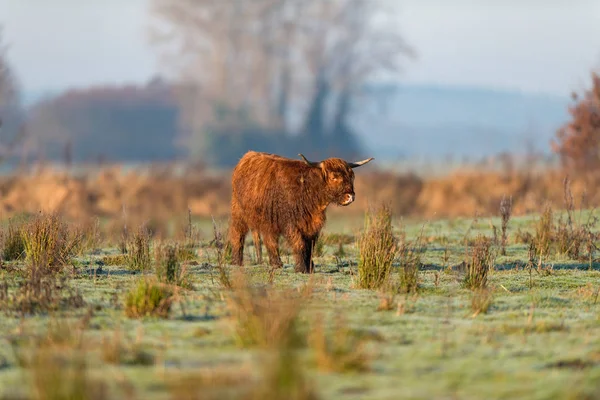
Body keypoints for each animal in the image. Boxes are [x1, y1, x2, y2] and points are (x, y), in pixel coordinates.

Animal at [229, 150, 372, 272]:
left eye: (351, 177)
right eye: (334, 177)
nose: (350, 196)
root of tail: (246, 157)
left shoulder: (313, 225)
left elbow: (310, 246)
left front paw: (310, 267)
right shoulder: (292, 223)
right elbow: (300, 244)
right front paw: (301, 268)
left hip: (267, 219)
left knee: (270, 239)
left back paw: (276, 264)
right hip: (238, 213)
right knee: (237, 235)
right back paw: (237, 262)